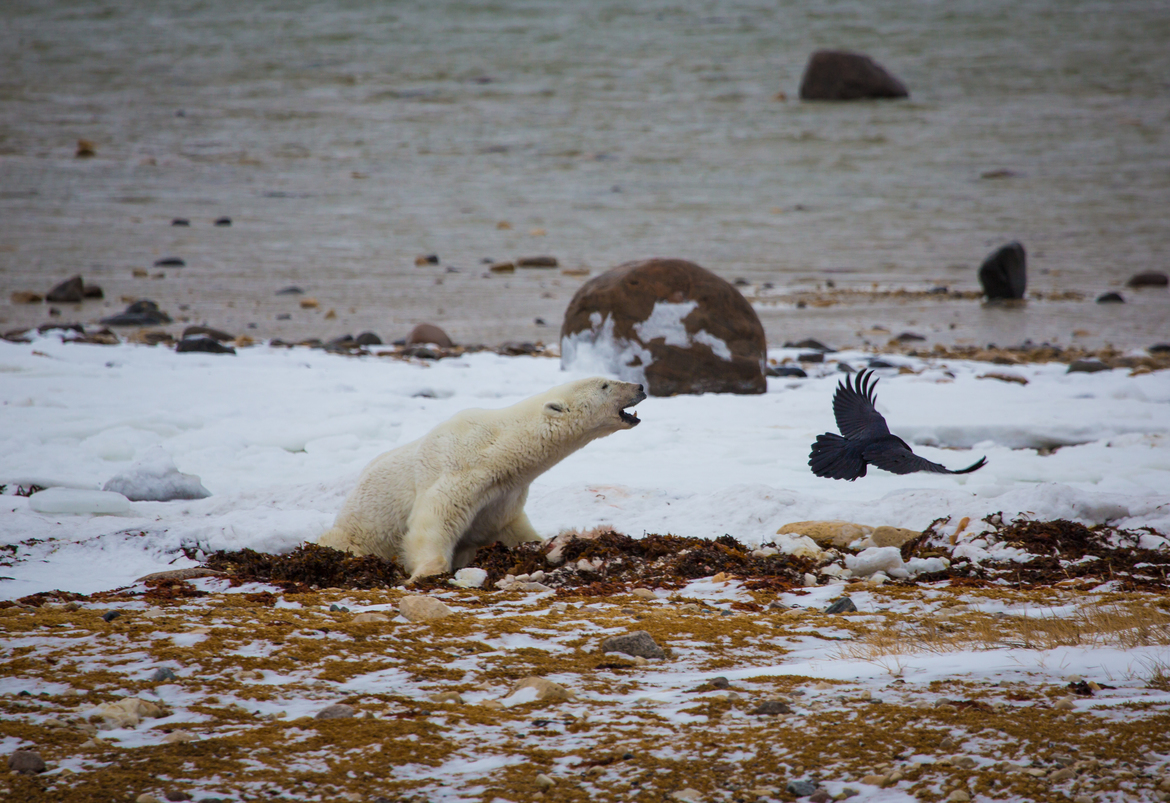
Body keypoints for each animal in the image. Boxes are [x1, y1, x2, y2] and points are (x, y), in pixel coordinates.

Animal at [316, 377, 646, 581]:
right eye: (605, 384)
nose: (640, 386)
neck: (498, 447)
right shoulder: (460, 469)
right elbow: (433, 520)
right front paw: (429, 571)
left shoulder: (503, 495)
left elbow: (512, 530)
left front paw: (562, 540)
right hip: (354, 533)